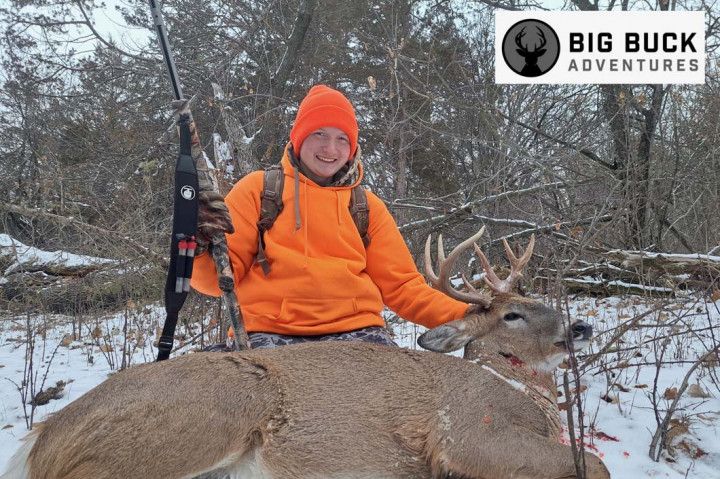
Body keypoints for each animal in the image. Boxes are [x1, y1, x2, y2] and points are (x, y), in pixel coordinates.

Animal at [2, 227, 610, 479]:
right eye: (513, 314)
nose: (581, 326)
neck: (520, 393)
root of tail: (42, 440)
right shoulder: (465, 435)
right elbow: (597, 464)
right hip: (198, 420)